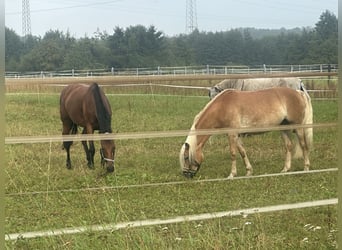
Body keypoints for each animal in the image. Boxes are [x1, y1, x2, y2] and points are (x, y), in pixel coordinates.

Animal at [182, 87, 312, 179]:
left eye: (186, 157)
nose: (186, 175)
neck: (223, 106)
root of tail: (298, 93)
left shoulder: (232, 134)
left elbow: (233, 153)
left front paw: (232, 174)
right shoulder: (237, 135)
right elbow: (242, 152)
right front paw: (249, 172)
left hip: (298, 128)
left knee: (303, 145)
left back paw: (306, 168)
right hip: (284, 128)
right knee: (288, 146)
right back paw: (285, 170)